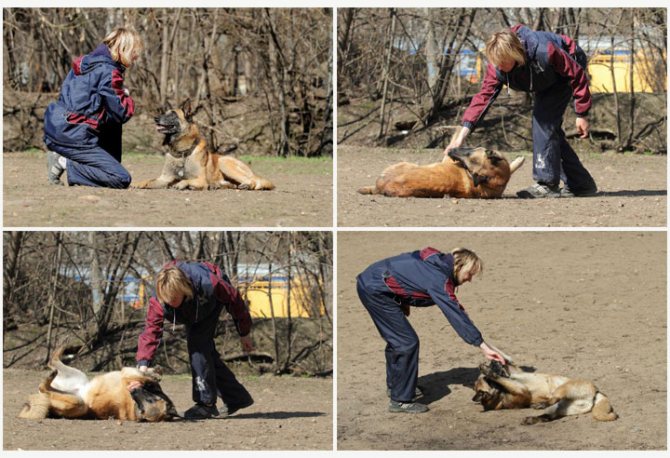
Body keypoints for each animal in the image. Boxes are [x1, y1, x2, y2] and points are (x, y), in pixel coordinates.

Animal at [18, 348, 180, 422]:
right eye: (149, 400)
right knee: (53, 360)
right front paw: (155, 372)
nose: (133, 391)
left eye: (145, 405)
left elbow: (143, 376)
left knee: (46, 378)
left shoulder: (127, 373)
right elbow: (147, 376)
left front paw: (153, 375)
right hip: (77, 378)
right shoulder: (130, 373)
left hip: (78, 403)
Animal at [135, 100, 276, 191]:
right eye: (164, 113)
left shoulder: (201, 179)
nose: (155, 118)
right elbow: (150, 180)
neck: (182, 153)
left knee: (253, 181)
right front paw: (139, 183)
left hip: (224, 162)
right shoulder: (164, 179)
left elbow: (186, 180)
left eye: (173, 114)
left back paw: (246, 185)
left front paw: (182, 184)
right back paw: (217, 185)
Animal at [472, 360, 620, 424]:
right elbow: (501, 377)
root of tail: (596, 392)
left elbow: (506, 372)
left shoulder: (516, 376)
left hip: (563, 390)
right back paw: (535, 416)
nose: (493, 361)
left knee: (552, 403)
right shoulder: (520, 389)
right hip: (561, 401)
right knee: (549, 413)